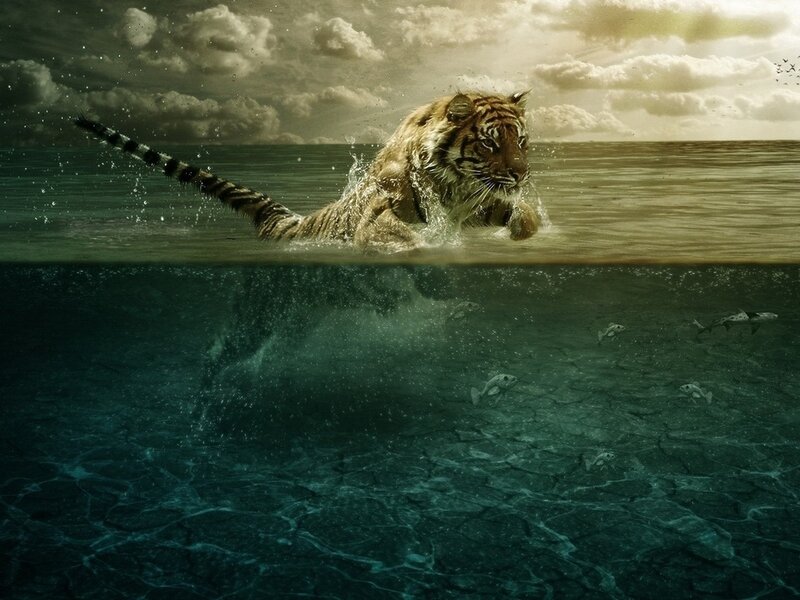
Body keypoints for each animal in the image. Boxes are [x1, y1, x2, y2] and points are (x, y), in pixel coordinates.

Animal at [74, 91, 539, 252]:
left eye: (521, 141)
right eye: (489, 143)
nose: (521, 175)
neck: (454, 186)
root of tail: (286, 221)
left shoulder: (478, 203)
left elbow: (522, 216)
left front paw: (523, 229)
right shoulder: (381, 212)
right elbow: (398, 235)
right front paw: (424, 247)